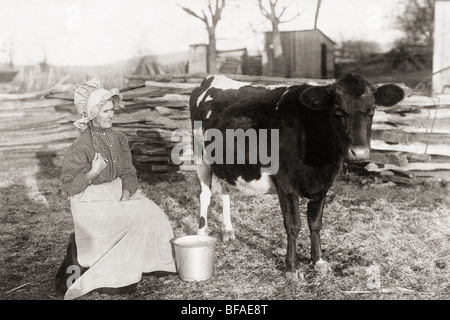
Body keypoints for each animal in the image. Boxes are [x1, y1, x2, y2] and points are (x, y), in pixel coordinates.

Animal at [188, 74, 406, 278]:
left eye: (372, 111)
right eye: (338, 111)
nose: (359, 153)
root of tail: (212, 78)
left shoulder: (323, 184)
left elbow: (315, 224)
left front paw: (318, 261)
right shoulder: (286, 183)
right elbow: (293, 225)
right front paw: (292, 268)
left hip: (225, 164)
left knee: (225, 192)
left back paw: (228, 231)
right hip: (200, 155)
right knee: (205, 195)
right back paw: (202, 232)